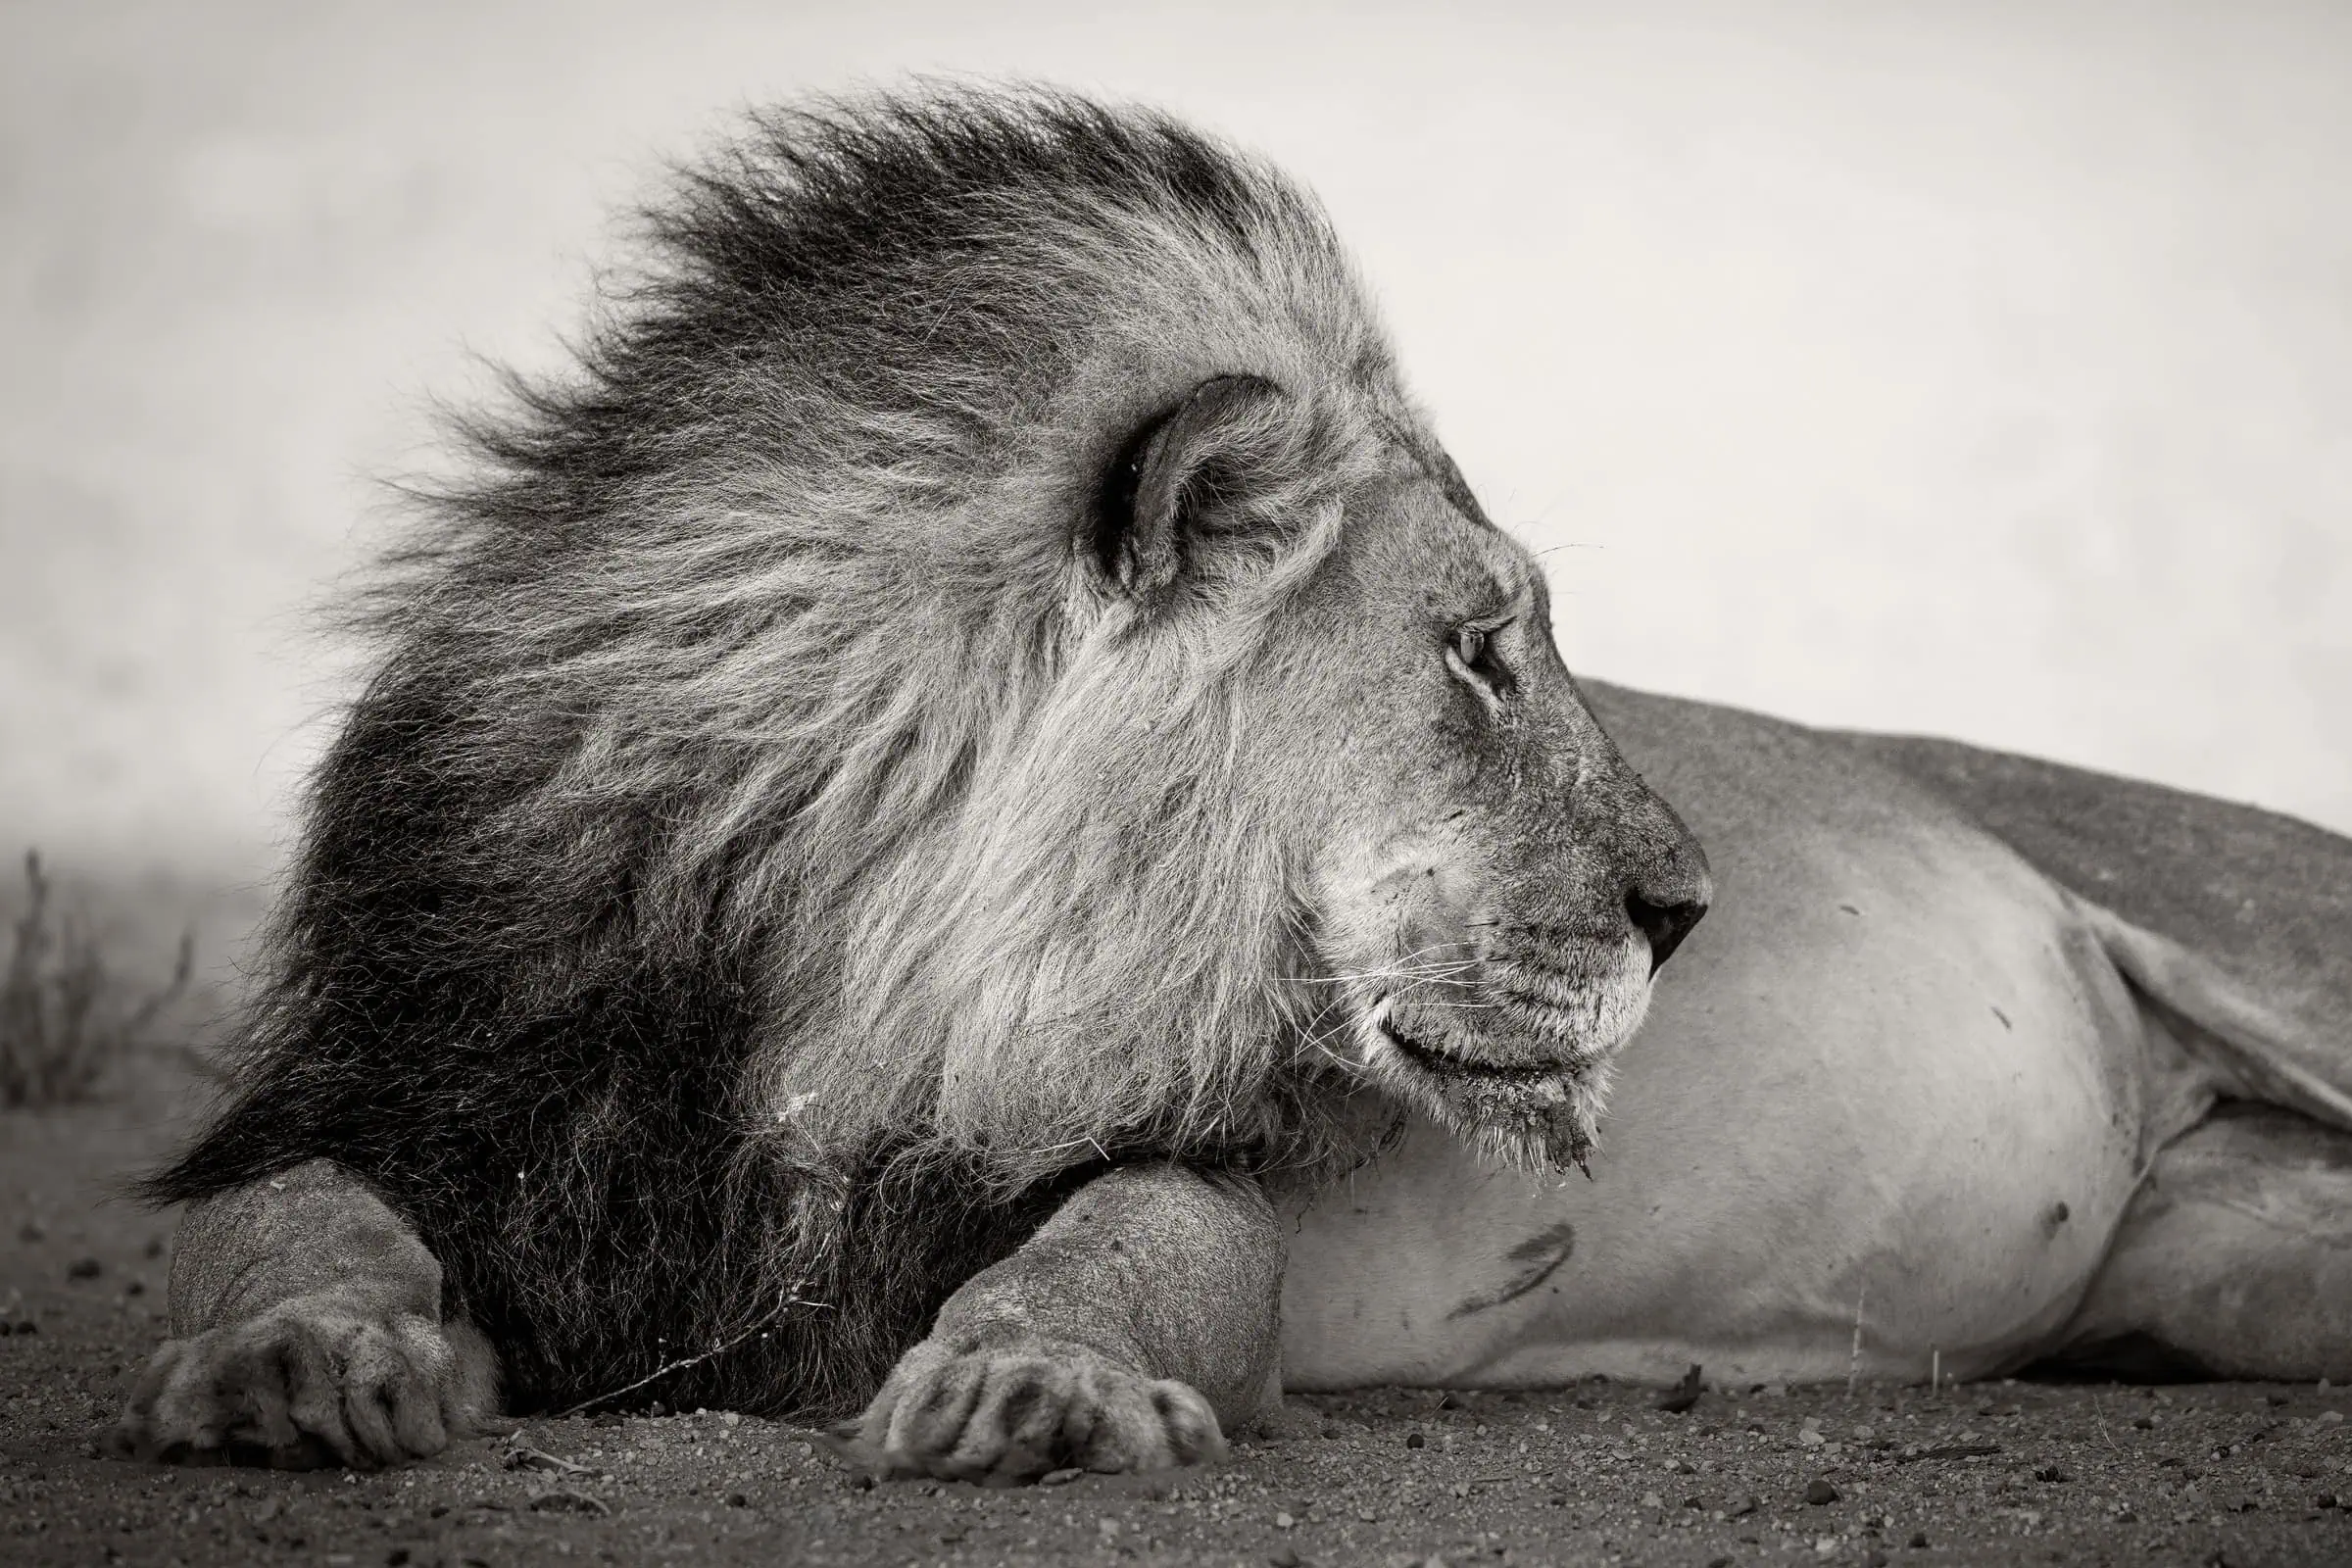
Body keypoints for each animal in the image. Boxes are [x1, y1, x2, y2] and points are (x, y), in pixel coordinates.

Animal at [113, 88, 2351, 1480]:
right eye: (1479, 650)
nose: (1691, 909)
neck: (831, 955)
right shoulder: (399, 1092)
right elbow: (278, 1226)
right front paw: (294, 1363)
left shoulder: (1192, 1172)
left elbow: (1124, 1250)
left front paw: (1034, 1385)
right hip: (2231, 1268)